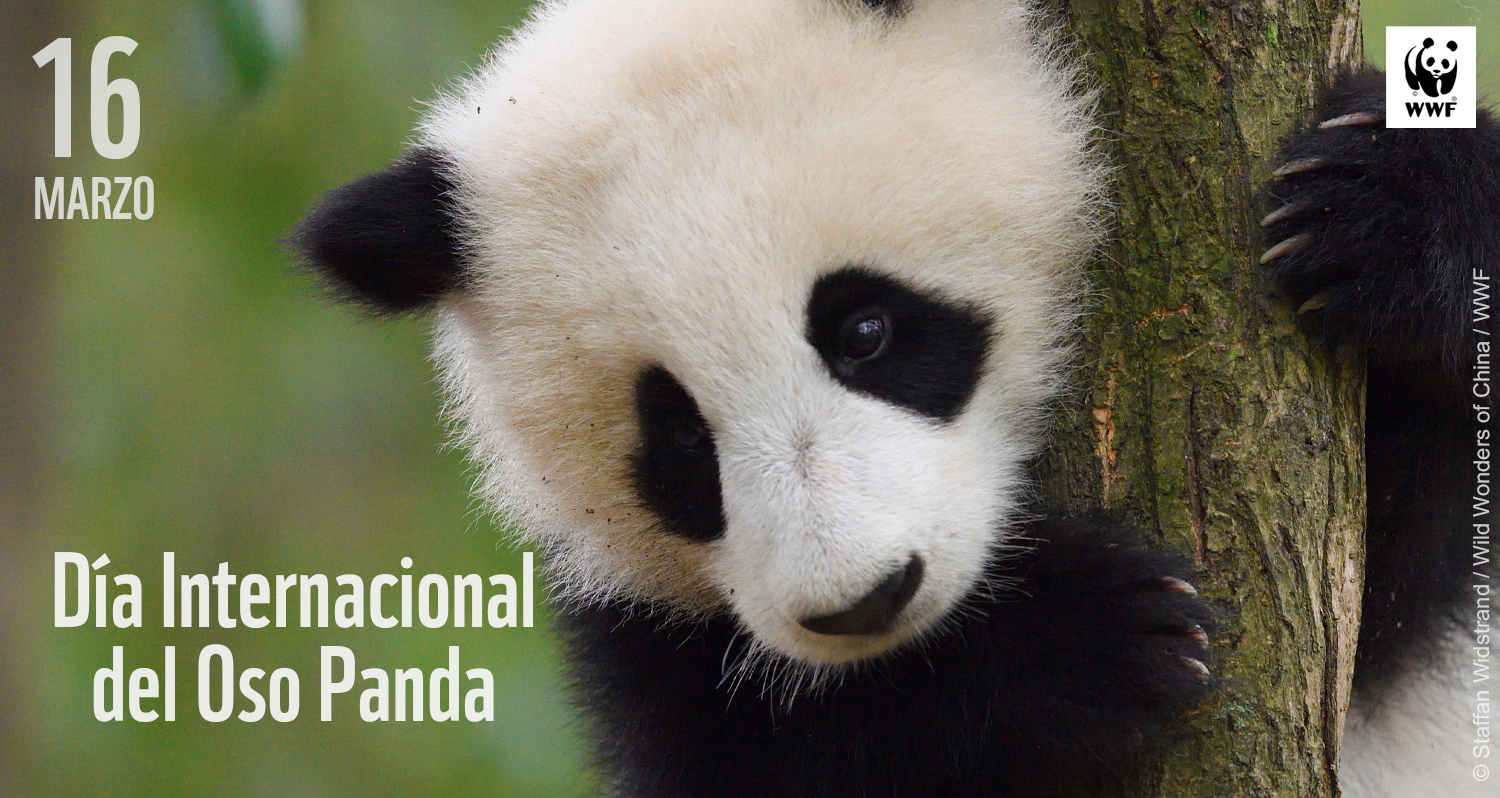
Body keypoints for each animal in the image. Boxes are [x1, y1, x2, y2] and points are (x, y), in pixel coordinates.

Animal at [290, 1, 1500, 795]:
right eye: (676, 441)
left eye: (864, 331)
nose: (867, 601)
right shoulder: (645, 633)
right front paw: (1079, 640)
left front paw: (1388, 209)